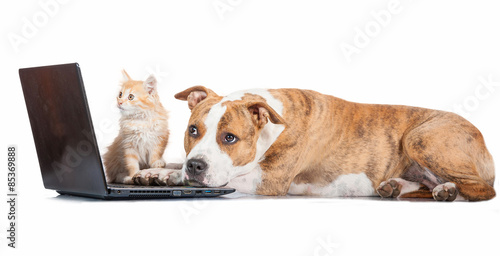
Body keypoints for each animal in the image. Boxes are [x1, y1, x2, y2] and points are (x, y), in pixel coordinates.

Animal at [173, 87, 496, 201]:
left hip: (420, 137)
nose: (196, 165)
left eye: (229, 137)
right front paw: (166, 172)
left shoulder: (270, 180)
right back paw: (396, 187)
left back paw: (448, 191)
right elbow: (173, 163)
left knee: (481, 189)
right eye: (193, 130)